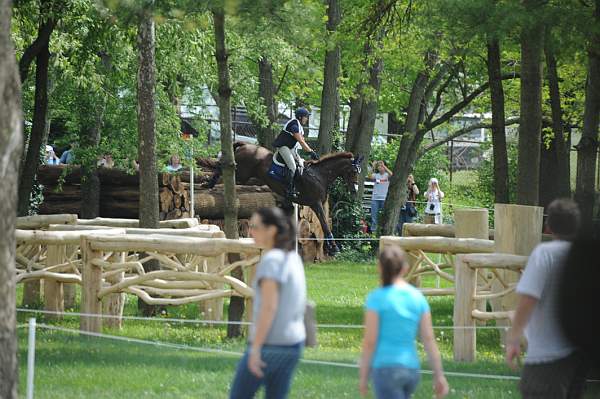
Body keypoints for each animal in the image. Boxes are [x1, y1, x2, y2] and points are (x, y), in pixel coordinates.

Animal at [204, 143, 364, 256]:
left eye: (358, 172)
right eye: (353, 171)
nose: (355, 191)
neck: (319, 176)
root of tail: (245, 145)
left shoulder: (312, 204)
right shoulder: (316, 203)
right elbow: (325, 224)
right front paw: (334, 248)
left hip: (242, 174)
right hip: (242, 174)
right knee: (223, 169)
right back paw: (208, 183)